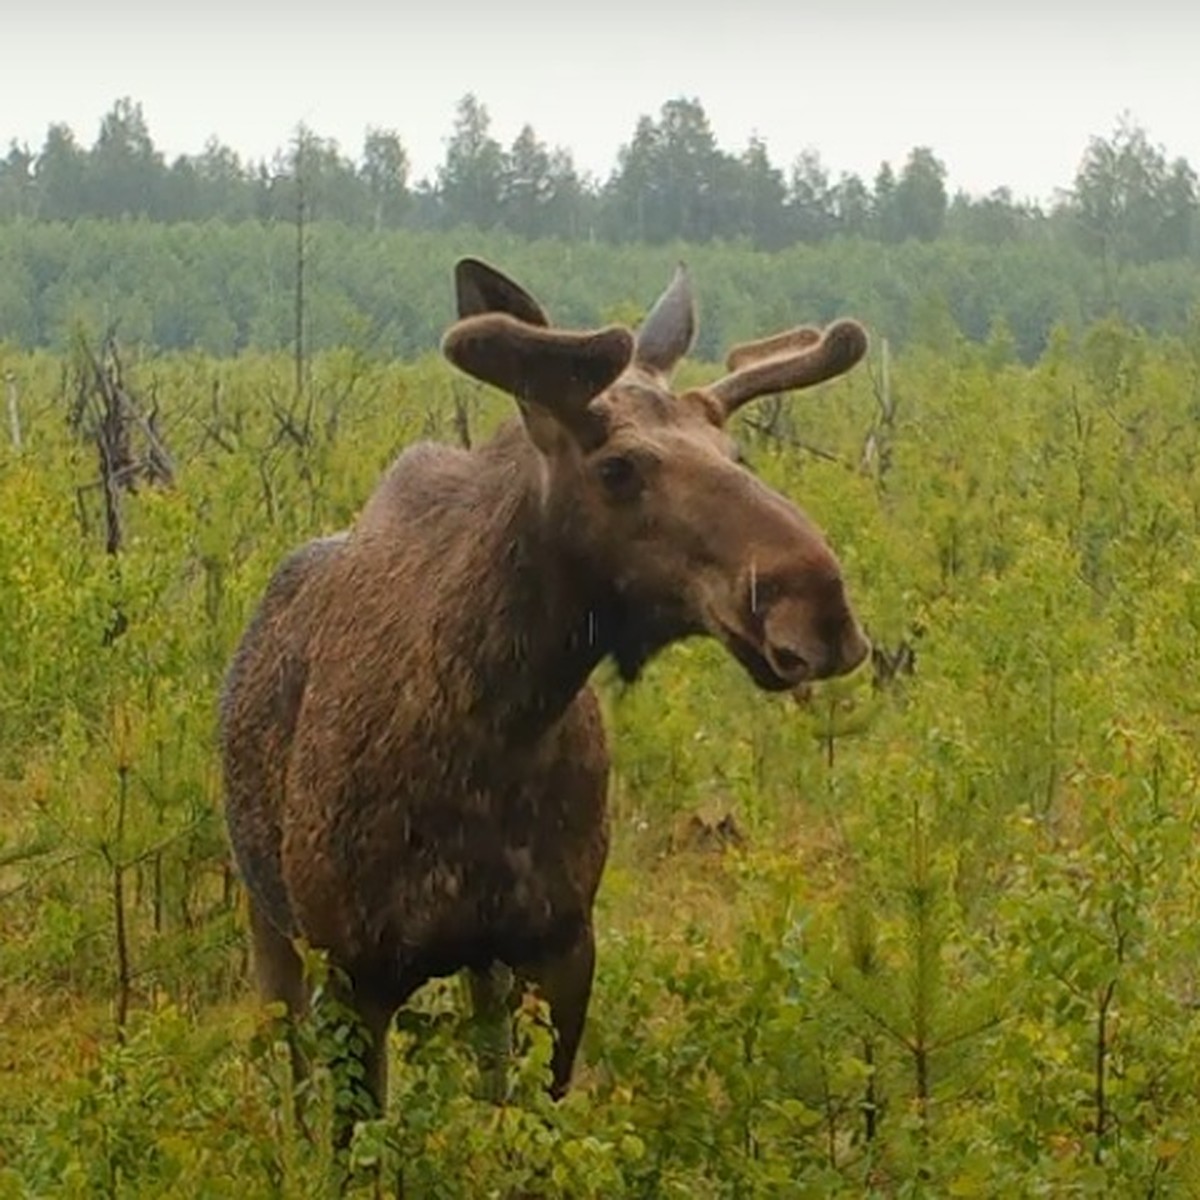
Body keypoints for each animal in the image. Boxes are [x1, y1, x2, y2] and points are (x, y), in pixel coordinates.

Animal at [218, 258, 873, 1128]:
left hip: (478, 967)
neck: (498, 722)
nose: (821, 606)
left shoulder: (557, 944)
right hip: (268, 921)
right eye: (617, 468)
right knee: (289, 1080)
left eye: (734, 450)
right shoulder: (352, 966)